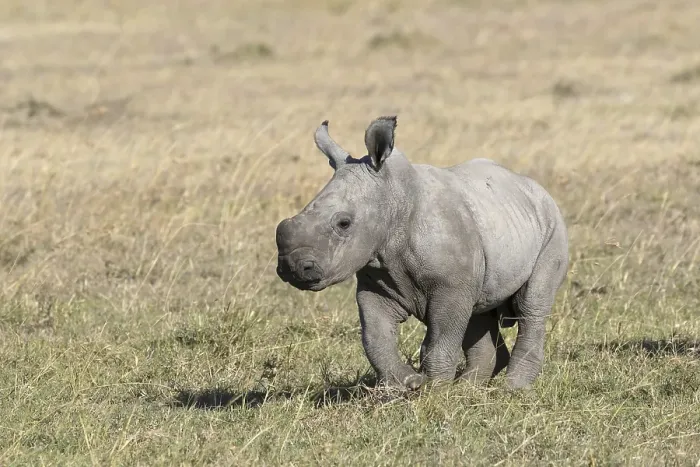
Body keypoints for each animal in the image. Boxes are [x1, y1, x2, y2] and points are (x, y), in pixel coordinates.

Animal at [275, 116, 568, 390]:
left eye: (343, 224)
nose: (291, 268)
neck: (394, 199)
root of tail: (537, 189)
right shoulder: (377, 280)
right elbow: (375, 337)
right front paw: (408, 383)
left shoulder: (451, 287)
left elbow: (440, 341)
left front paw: (434, 392)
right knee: (479, 311)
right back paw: (468, 389)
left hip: (552, 227)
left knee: (531, 305)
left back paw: (512, 389)